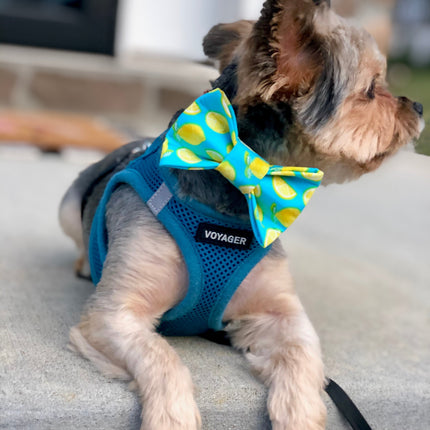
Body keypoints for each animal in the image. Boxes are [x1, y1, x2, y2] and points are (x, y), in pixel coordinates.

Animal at [58, 1, 424, 428]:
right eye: (370, 90)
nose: (419, 105)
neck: (236, 200)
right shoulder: (113, 315)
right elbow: (162, 356)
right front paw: (173, 417)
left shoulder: (281, 314)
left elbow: (302, 357)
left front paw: (300, 416)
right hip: (68, 207)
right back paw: (85, 263)